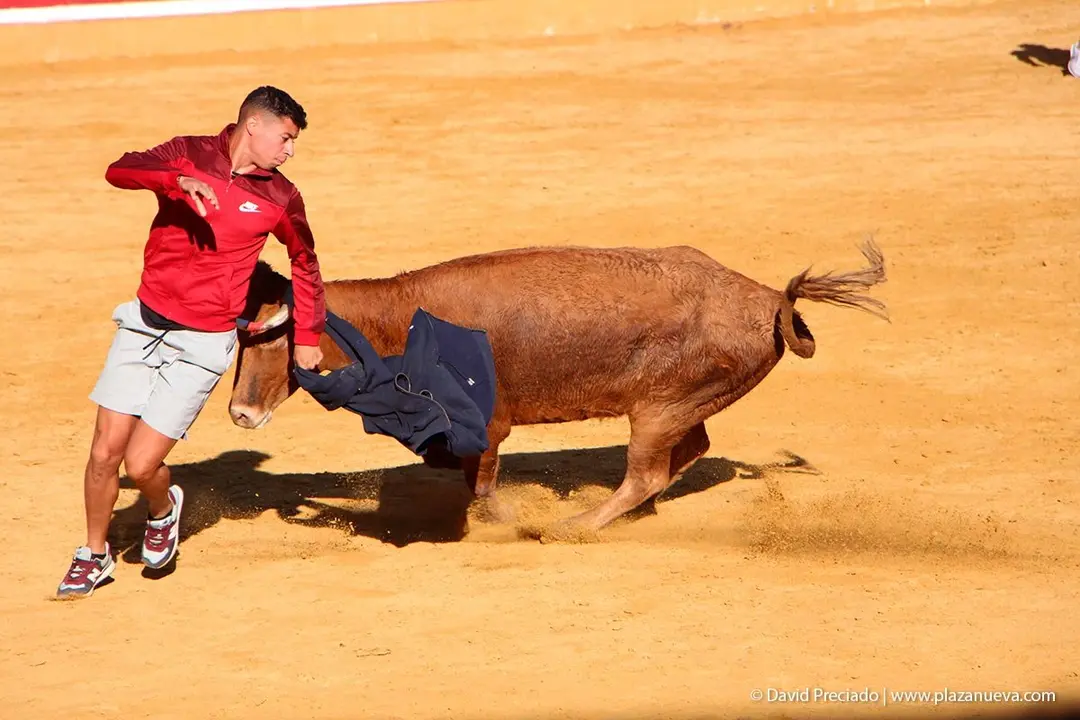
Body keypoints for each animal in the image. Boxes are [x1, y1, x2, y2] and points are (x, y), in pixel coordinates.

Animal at [228, 240, 887, 535]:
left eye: (271, 340)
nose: (238, 413)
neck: (400, 317)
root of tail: (770, 299)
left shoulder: (489, 425)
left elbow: (483, 487)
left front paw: (517, 522)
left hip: (656, 410)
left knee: (646, 472)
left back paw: (575, 526)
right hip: (681, 406)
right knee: (686, 454)